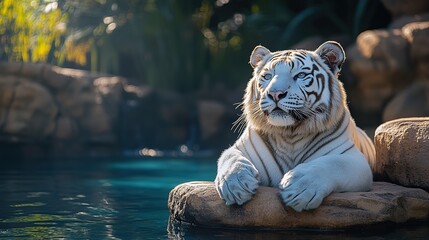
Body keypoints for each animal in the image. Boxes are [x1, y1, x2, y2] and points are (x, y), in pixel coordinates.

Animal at [214, 41, 374, 212]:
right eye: (267, 76)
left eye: (301, 75)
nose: (275, 94)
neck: (289, 133)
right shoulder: (241, 148)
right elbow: (230, 159)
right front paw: (235, 185)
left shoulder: (355, 159)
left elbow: (330, 164)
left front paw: (299, 187)